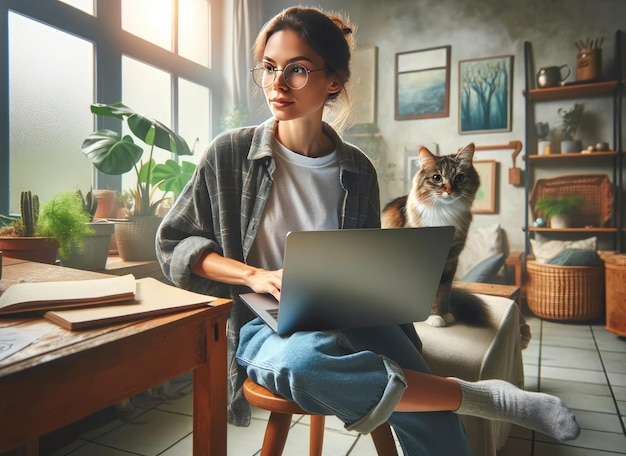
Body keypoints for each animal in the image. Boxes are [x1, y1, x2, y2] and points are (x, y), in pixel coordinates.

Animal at [380, 144, 488, 326]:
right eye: (437, 178)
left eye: (459, 177)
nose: (449, 191)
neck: (444, 212)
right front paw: (432, 318)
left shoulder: (451, 260)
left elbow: (442, 292)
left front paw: (443, 314)